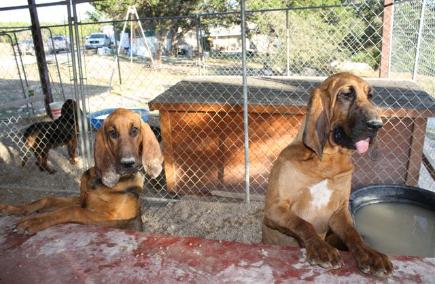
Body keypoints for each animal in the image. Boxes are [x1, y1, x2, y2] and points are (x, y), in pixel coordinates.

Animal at [0, 108, 164, 233]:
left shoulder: (110, 218)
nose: (128, 164)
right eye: (112, 133)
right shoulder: (83, 200)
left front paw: (33, 221)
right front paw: (13, 208)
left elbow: (71, 210)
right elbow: (47, 199)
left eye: (135, 130)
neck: (98, 180)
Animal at [262, 72, 396, 276]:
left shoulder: (339, 212)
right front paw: (321, 248)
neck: (327, 161)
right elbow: (303, 224)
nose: (377, 125)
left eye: (370, 95)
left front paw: (369, 253)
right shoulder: (275, 209)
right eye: (346, 94)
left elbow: (353, 234)